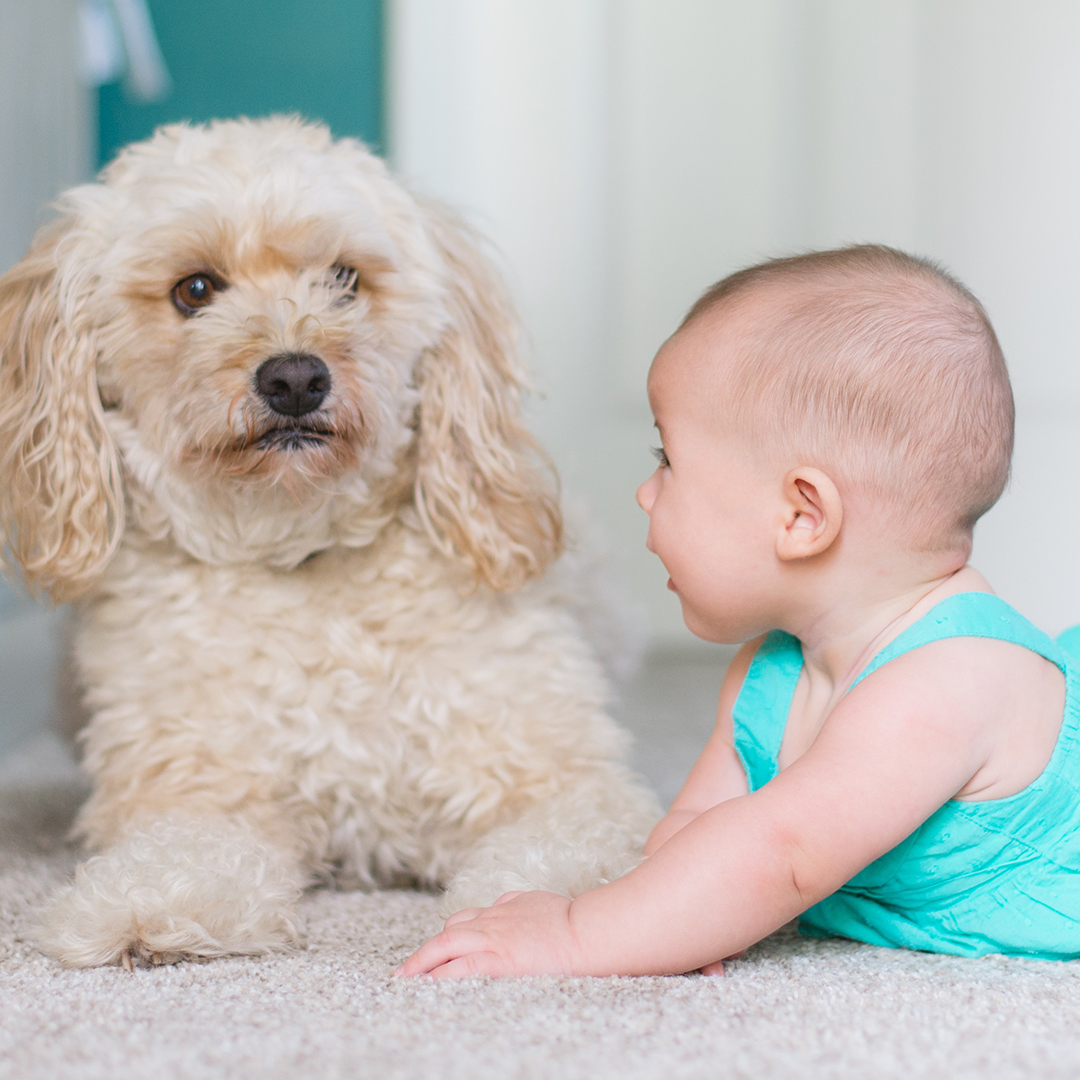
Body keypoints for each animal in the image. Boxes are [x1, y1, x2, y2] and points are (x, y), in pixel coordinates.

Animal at [0, 118, 656, 972]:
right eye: (195, 290)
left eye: (345, 278)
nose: (294, 379)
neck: (300, 553)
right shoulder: (197, 792)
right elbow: (186, 852)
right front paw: (145, 905)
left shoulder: (560, 780)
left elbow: (569, 849)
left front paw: (544, 916)